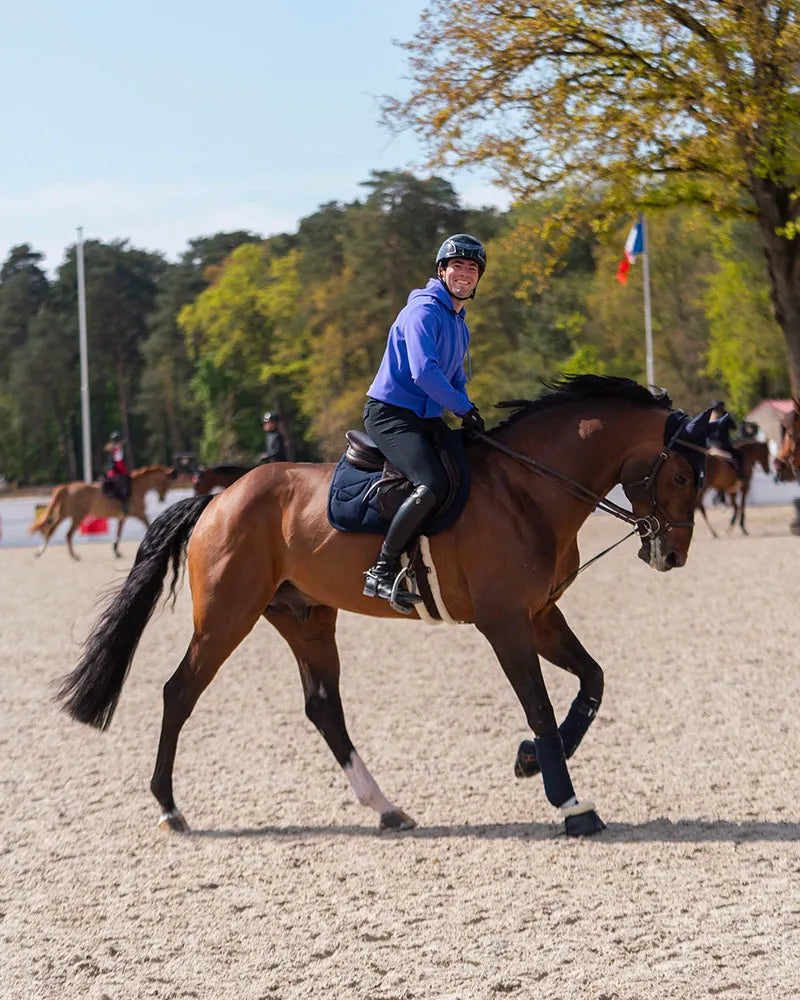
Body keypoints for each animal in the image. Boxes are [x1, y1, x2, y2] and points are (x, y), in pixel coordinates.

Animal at [30, 464, 173, 560]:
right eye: (166, 481)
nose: (162, 498)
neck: (138, 486)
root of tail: (68, 487)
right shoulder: (139, 514)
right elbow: (148, 525)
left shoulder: (122, 517)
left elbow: (119, 533)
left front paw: (116, 551)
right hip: (77, 516)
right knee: (67, 534)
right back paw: (74, 556)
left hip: (64, 514)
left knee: (51, 530)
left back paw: (39, 552)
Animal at [54, 378, 708, 840]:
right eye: (681, 476)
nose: (673, 554)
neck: (528, 489)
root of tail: (219, 498)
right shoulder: (506, 624)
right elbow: (541, 707)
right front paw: (570, 803)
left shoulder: (541, 616)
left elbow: (592, 682)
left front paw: (529, 761)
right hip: (225, 618)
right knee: (179, 693)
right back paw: (169, 807)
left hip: (306, 618)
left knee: (323, 707)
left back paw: (387, 807)